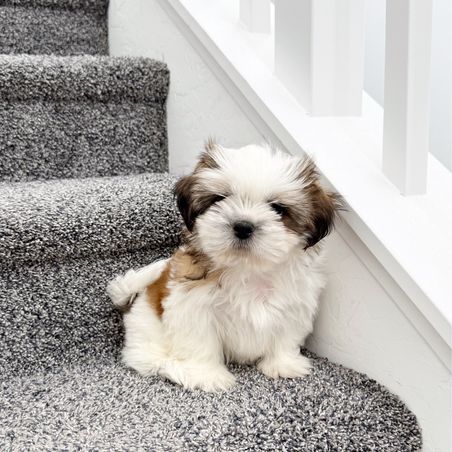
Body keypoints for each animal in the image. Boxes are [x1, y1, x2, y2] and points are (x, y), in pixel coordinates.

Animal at [107, 142, 341, 392]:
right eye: (220, 198)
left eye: (278, 208)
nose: (243, 226)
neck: (247, 268)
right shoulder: (194, 307)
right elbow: (200, 341)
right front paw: (206, 375)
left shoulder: (296, 303)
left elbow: (287, 335)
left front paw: (282, 364)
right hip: (146, 328)